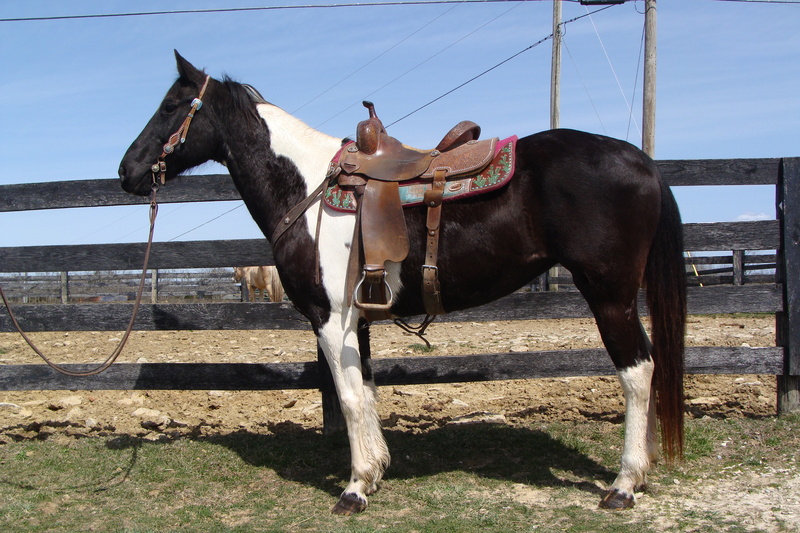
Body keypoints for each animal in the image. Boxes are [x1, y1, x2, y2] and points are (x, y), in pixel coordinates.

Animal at [119, 51, 686, 514]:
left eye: (172, 105)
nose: (127, 171)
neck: (307, 188)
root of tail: (639, 160)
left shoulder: (331, 319)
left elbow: (348, 398)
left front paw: (353, 490)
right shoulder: (358, 320)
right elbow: (366, 391)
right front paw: (373, 473)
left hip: (610, 296)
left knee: (639, 372)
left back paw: (624, 485)